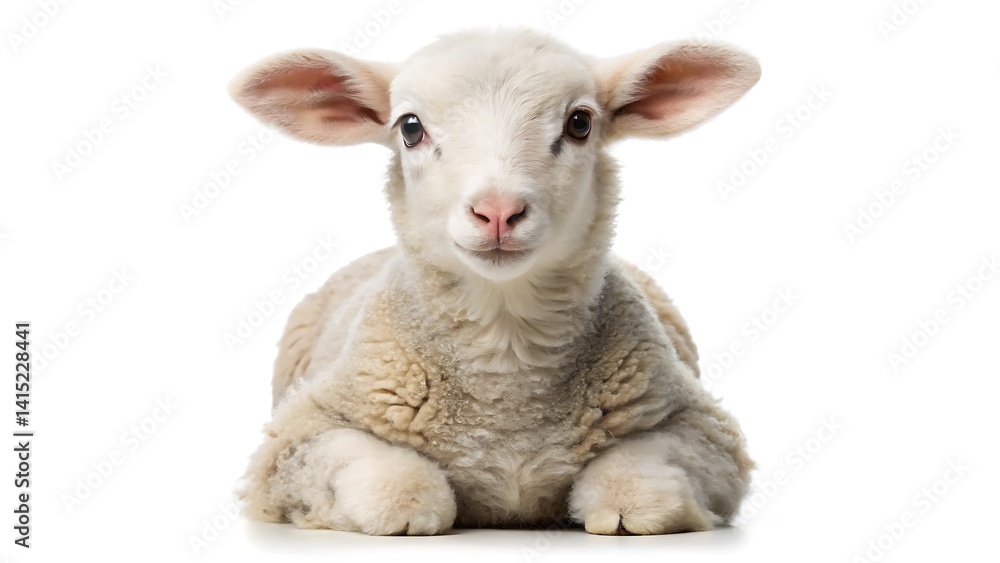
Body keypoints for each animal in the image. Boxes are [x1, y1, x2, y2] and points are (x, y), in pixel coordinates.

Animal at [229, 28, 760, 536]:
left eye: (580, 123)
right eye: (410, 127)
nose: (499, 211)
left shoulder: (705, 430)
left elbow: (644, 486)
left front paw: (622, 509)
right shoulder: (295, 437)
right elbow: (397, 487)